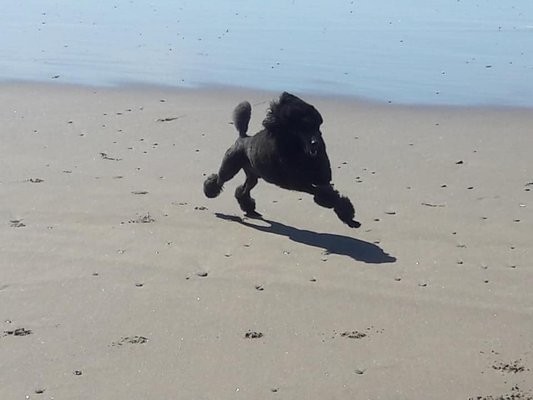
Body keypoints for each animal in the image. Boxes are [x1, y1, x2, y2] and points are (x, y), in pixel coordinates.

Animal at [204, 91, 362, 228]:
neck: (302, 153)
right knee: (220, 179)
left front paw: (349, 218)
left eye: (316, 127)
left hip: (253, 175)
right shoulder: (299, 183)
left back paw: (249, 209)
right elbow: (324, 195)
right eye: (302, 128)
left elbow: (334, 196)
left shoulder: (323, 180)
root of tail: (243, 138)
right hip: (230, 166)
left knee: (244, 189)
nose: (315, 142)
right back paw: (210, 191)